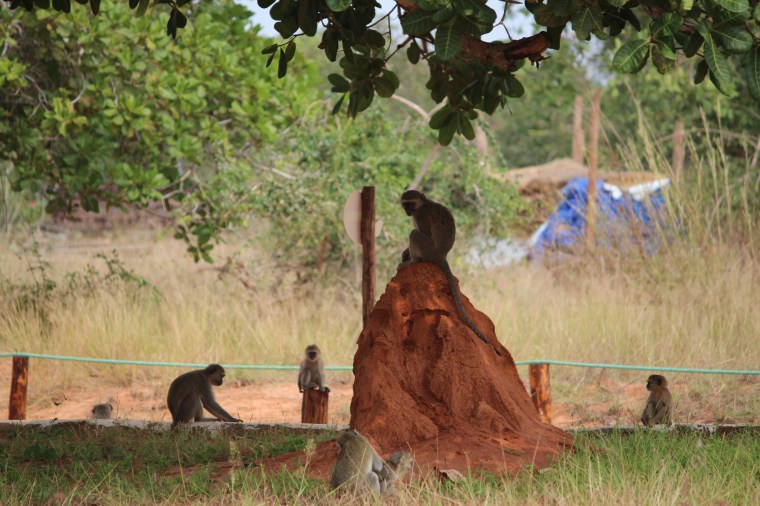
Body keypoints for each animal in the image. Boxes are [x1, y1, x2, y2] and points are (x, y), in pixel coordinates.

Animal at [398, 190, 500, 355]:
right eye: (405, 204)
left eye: (410, 204)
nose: (407, 211)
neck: (423, 204)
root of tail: (441, 255)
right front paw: (405, 252)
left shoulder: (421, 214)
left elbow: (423, 231)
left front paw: (409, 256)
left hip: (428, 250)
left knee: (414, 234)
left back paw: (413, 261)